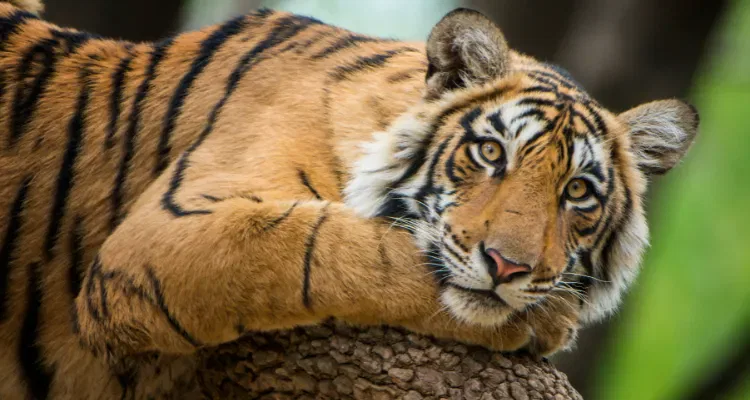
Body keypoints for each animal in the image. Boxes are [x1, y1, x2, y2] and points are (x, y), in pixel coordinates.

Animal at [0, 0, 698, 398]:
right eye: (491, 153)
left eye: (577, 191)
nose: (509, 267)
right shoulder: (168, 233)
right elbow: (332, 249)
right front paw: (544, 319)